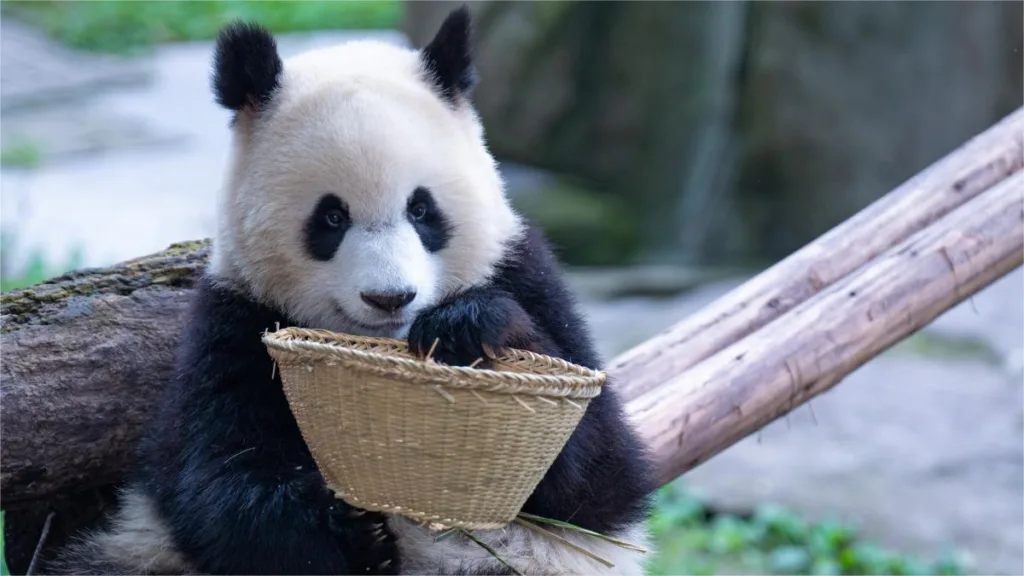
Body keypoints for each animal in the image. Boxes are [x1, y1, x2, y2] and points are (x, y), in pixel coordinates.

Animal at [49, 6, 656, 575]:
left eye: (421, 209)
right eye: (331, 217)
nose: (391, 298)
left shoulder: (523, 271)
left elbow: (596, 477)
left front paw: (468, 330)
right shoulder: (233, 320)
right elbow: (215, 476)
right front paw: (350, 528)